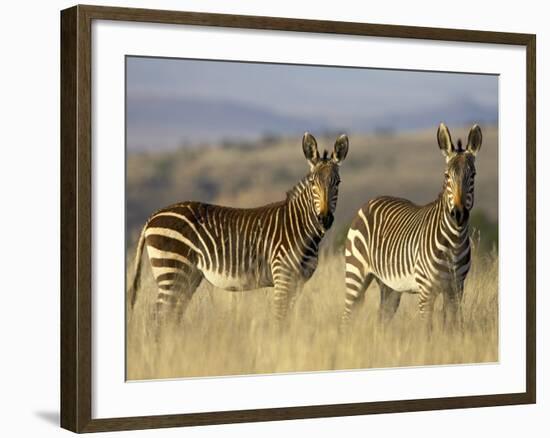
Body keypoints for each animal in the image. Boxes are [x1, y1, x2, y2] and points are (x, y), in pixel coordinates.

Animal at [128, 133, 350, 326]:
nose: (325, 219)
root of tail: (153, 216)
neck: (300, 227)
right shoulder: (283, 276)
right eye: (313, 182)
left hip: (187, 277)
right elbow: (279, 320)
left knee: (171, 317)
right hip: (171, 271)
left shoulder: (298, 282)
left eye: (338, 183)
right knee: (158, 319)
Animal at [342, 122, 486, 328]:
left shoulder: (456, 288)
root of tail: (369, 201)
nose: (458, 214)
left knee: (382, 318)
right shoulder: (426, 290)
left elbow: (453, 327)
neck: (454, 241)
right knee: (346, 316)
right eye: (446, 176)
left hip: (389, 285)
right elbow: (427, 329)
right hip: (355, 273)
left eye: (473, 175)